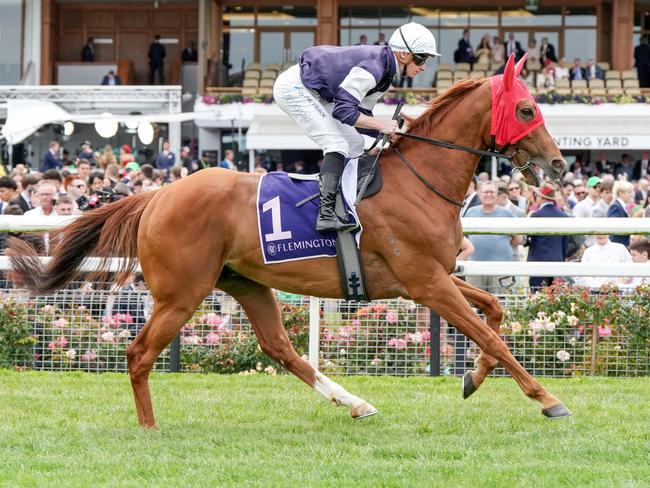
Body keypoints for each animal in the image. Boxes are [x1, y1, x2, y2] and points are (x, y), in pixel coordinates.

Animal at [8, 55, 568, 428]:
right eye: (525, 110)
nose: (560, 163)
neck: (419, 181)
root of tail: (159, 194)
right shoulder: (426, 282)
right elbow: (491, 334)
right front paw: (546, 398)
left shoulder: (431, 278)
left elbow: (494, 310)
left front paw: (473, 378)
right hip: (181, 293)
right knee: (139, 353)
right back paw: (149, 426)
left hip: (246, 283)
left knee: (279, 348)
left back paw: (356, 403)